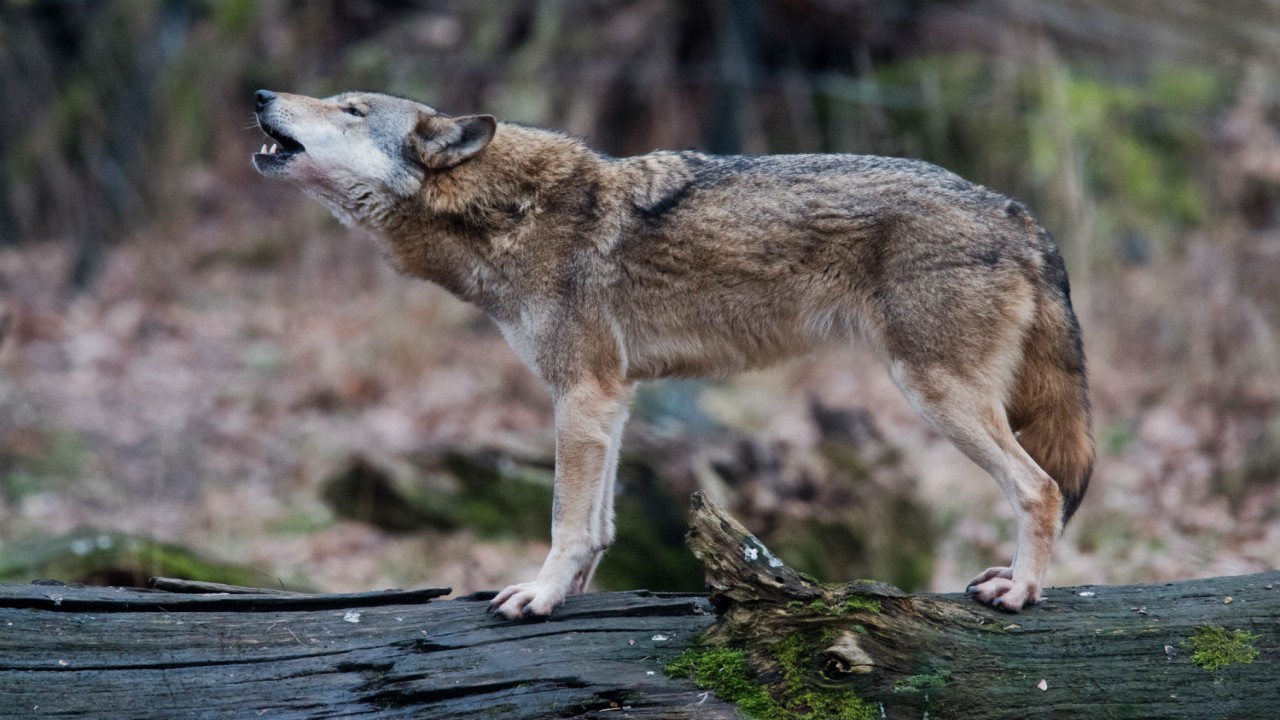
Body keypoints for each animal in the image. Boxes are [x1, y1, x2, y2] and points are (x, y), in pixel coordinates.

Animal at [251, 89, 1093, 618]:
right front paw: (573, 598)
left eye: (351, 109)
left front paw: (539, 598)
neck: (506, 212)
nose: (260, 95)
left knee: (1042, 488)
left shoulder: (582, 394)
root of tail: (1015, 210)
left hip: (937, 395)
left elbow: (564, 521)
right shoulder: (610, 398)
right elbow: (598, 525)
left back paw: (1021, 591)